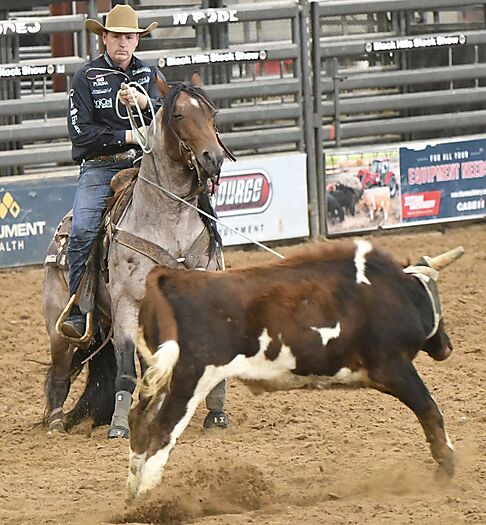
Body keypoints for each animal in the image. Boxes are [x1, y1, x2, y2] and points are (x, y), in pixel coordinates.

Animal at [41, 72, 235, 438]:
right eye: (178, 115)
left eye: (212, 114)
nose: (213, 158)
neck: (170, 222)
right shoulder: (127, 305)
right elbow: (125, 367)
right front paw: (119, 426)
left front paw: (216, 413)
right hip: (59, 325)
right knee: (60, 371)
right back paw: (57, 423)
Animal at [126, 240, 463, 500]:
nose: (447, 346)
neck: (395, 292)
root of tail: (173, 276)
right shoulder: (394, 367)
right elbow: (429, 410)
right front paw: (446, 467)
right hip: (190, 379)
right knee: (162, 431)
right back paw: (149, 500)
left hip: (159, 377)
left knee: (140, 422)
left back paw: (132, 494)